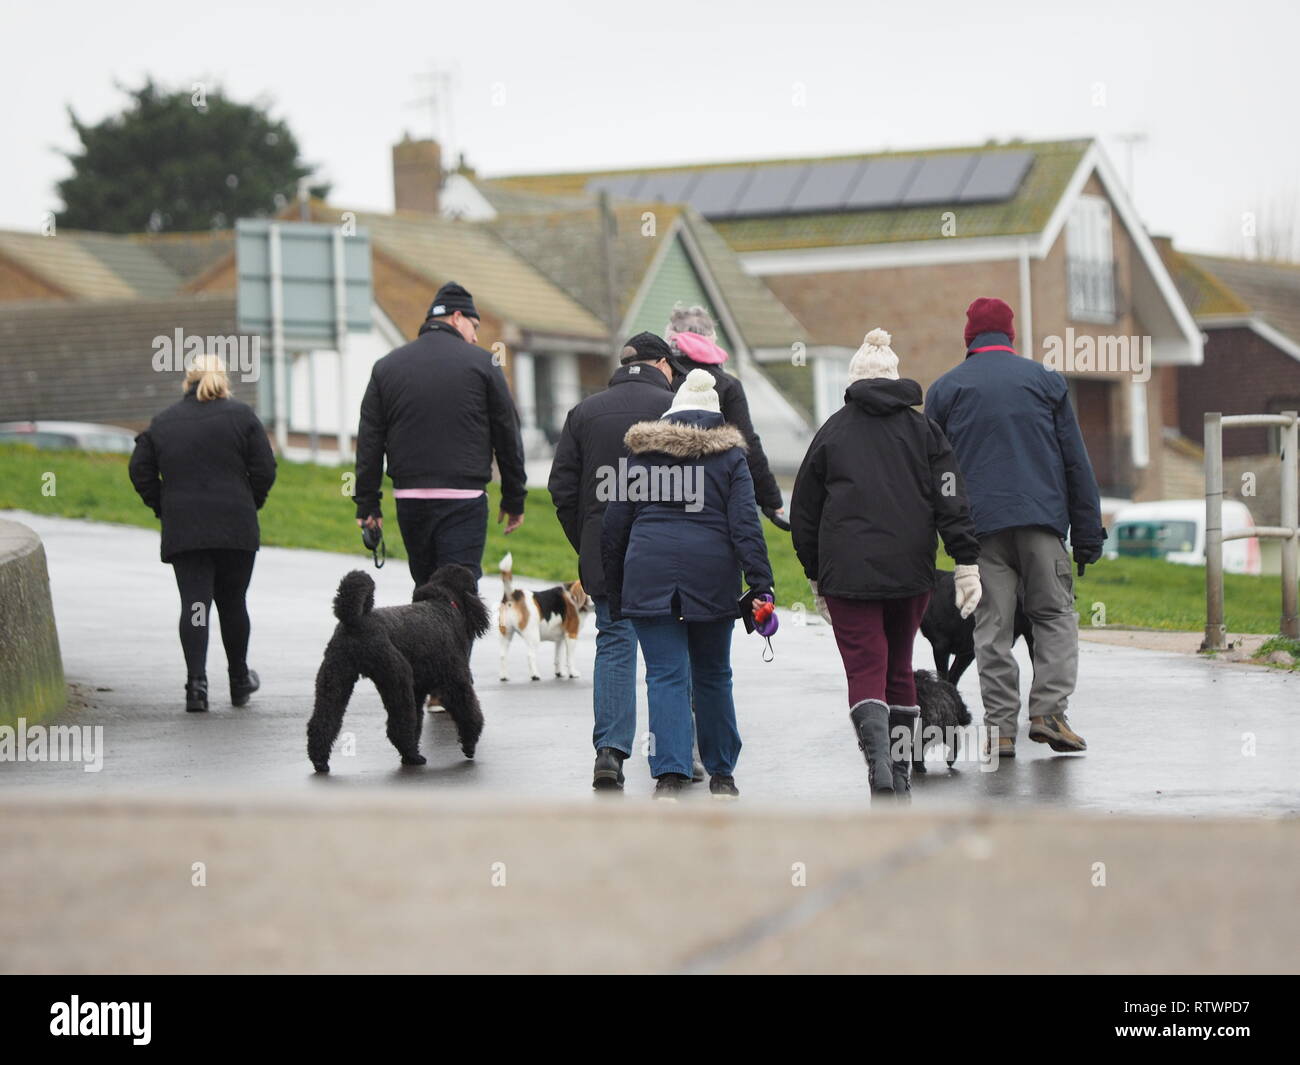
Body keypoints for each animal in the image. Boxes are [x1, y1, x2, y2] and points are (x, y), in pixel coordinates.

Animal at [306, 566, 488, 775]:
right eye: (473, 587)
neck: (443, 604)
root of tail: (354, 621)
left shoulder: (418, 690)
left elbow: (418, 720)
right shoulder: (457, 682)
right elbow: (469, 713)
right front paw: (470, 745)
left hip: (334, 679)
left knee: (323, 721)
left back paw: (320, 760)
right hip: (396, 680)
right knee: (399, 726)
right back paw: (413, 756)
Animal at [496, 553, 595, 681]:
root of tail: (513, 593)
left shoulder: (560, 639)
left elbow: (558, 657)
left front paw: (559, 673)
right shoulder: (571, 634)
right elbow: (570, 658)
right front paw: (572, 673)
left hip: (506, 633)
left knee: (503, 655)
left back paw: (504, 676)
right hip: (533, 636)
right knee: (530, 655)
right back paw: (535, 675)